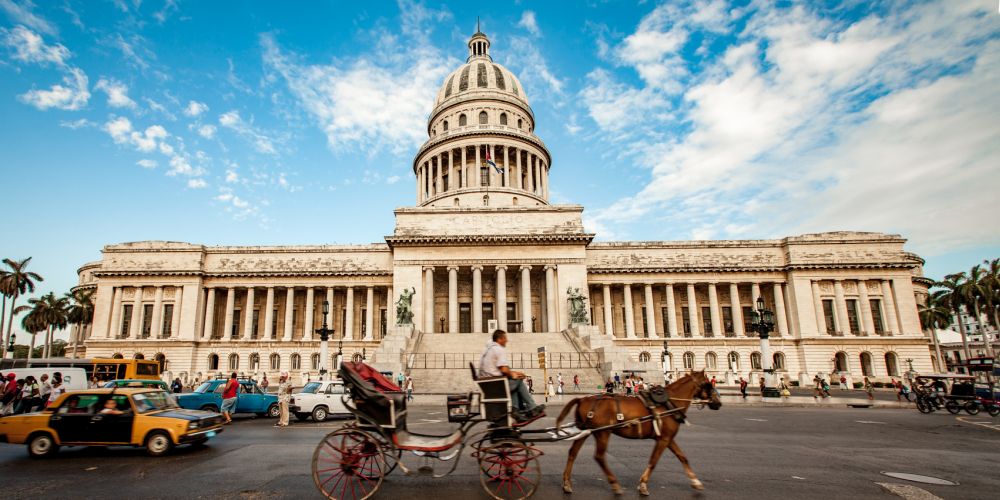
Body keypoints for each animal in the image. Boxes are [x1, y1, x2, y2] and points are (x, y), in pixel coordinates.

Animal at [556, 370, 720, 494]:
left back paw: (567, 483)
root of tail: (582, 399)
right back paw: (615, 484)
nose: (718, 403)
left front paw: (696, 482)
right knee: (599, 456)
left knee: (573, 453)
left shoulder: (667, 438)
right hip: (603, 433)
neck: (668, 403)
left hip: (586, 431)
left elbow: (683, 457)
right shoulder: (663, 439)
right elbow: (653, 461)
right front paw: (643, 485)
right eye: (707, 384)